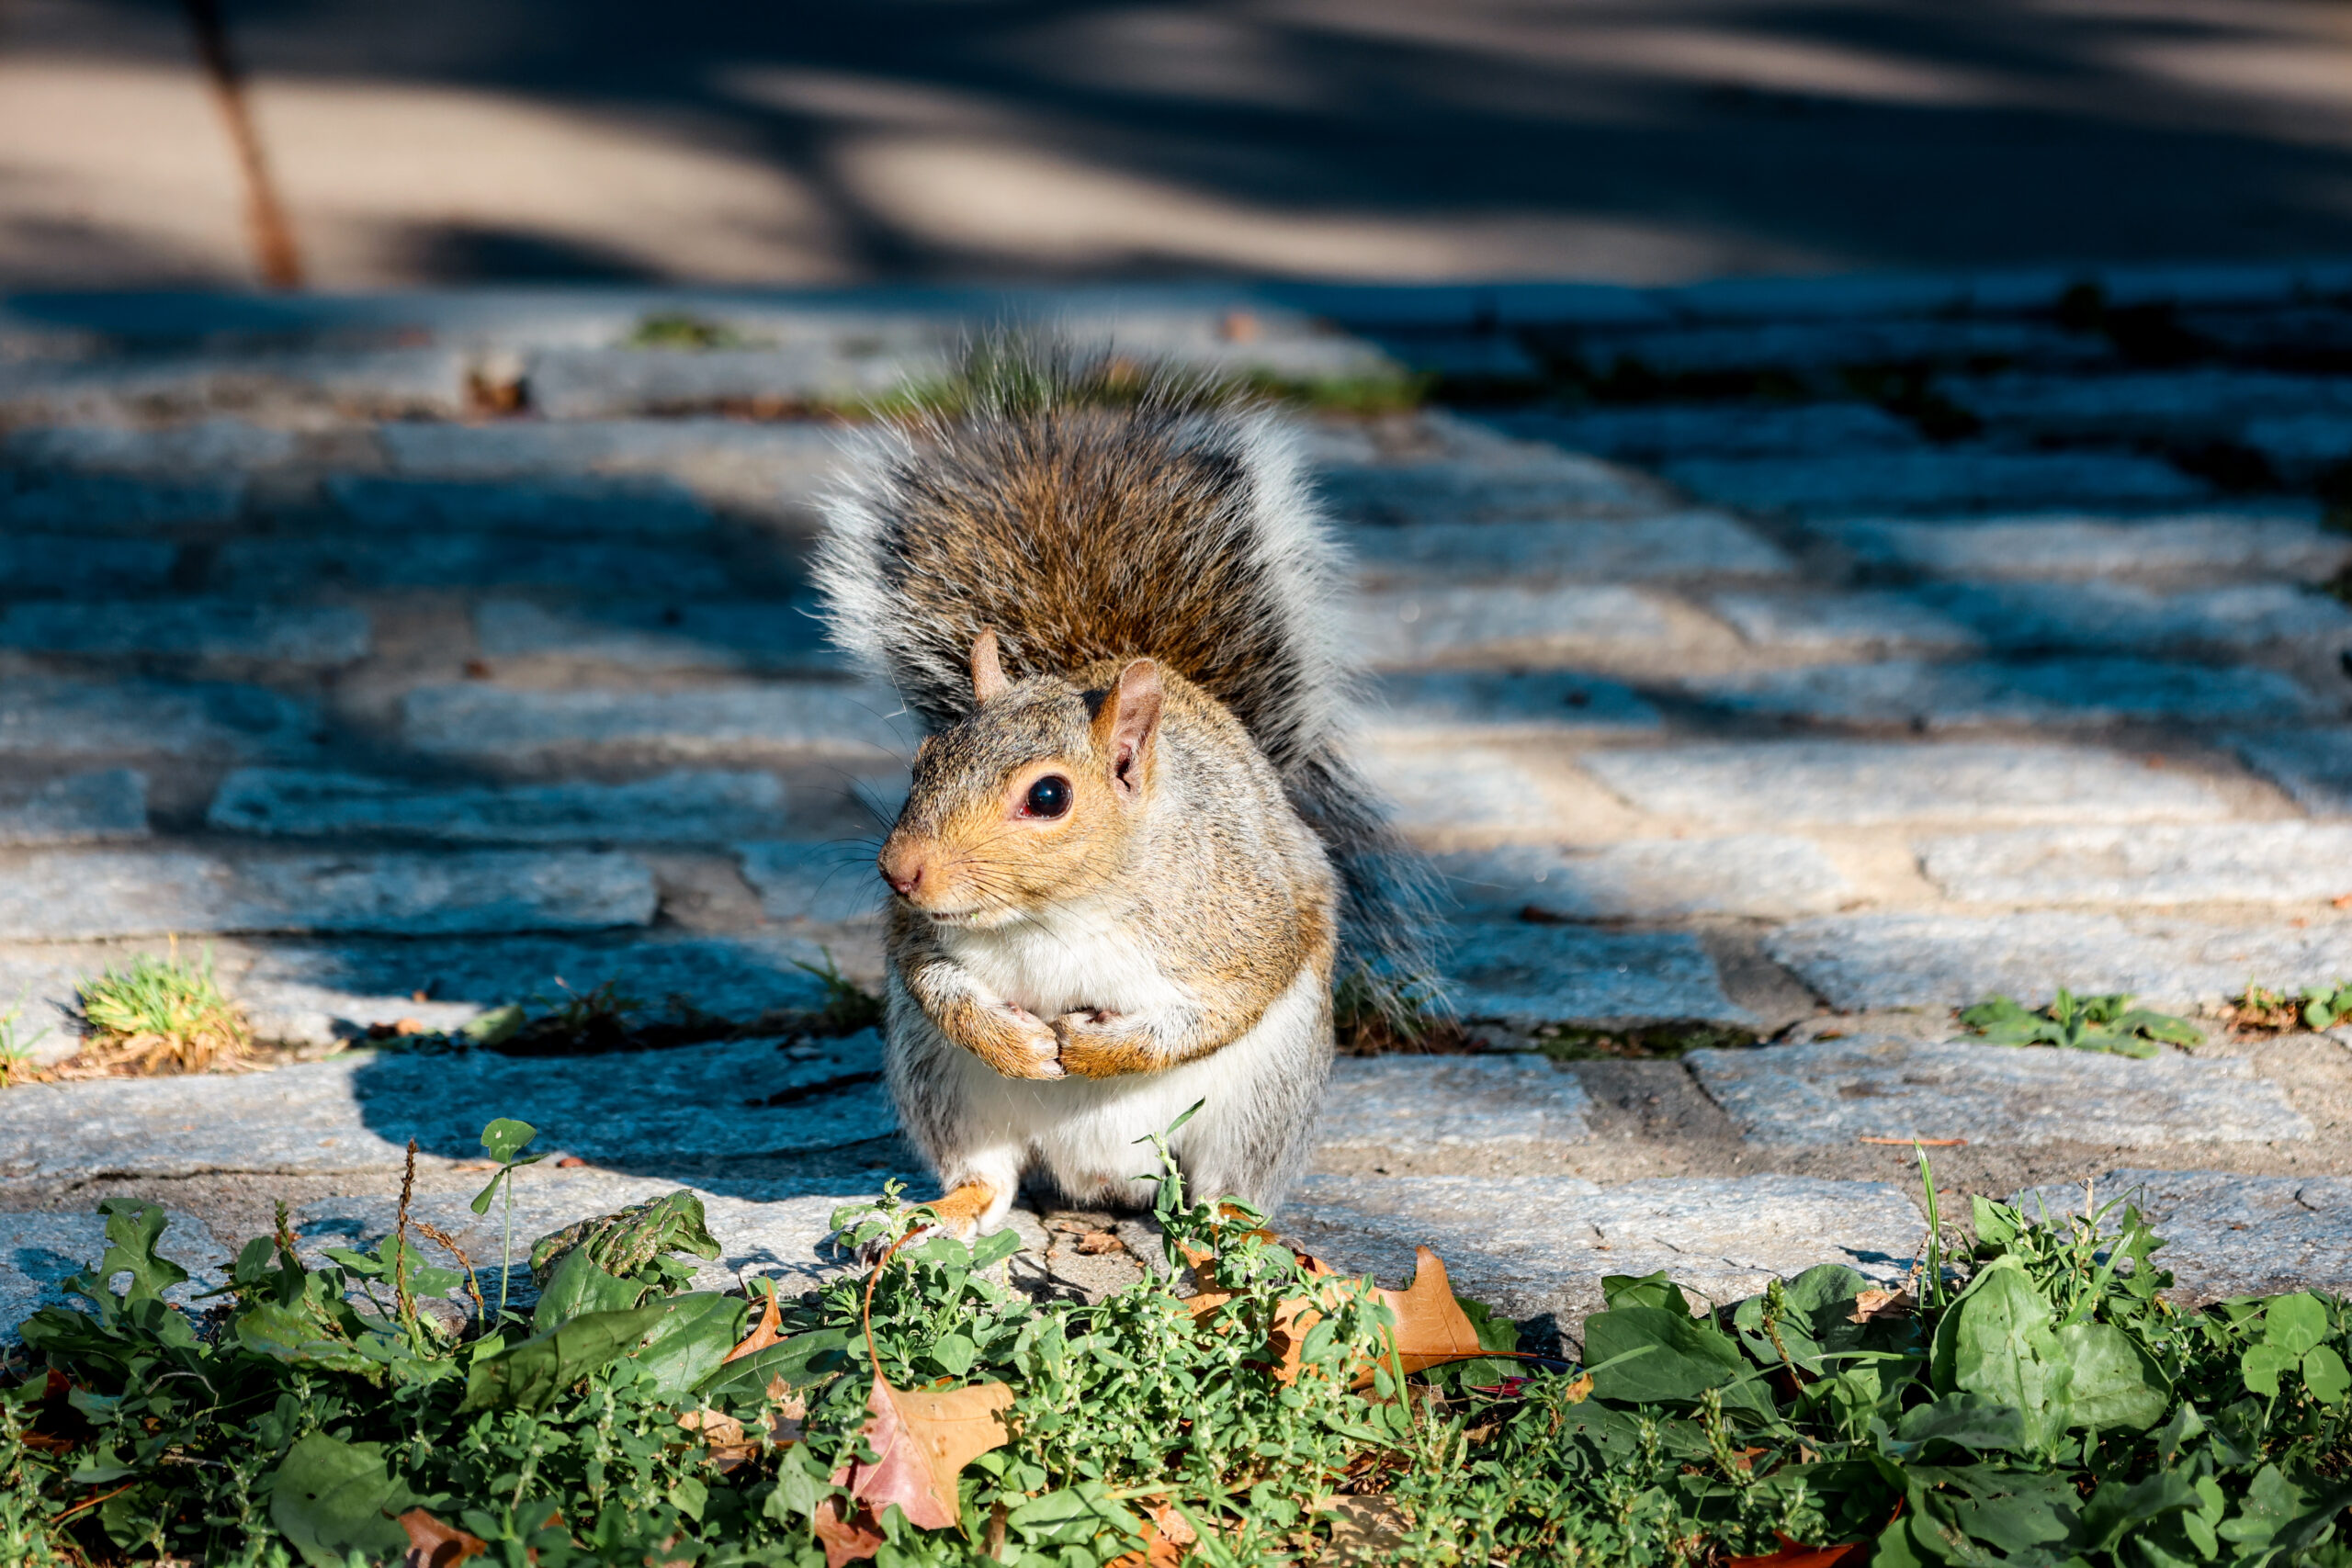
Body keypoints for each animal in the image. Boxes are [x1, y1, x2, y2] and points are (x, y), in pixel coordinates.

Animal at [814, 347, 1430, 1243]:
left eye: (1047, 796)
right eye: (925, 759)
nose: (902, 872)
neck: (1054, 915)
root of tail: (1098, 1181)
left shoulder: (1249, 918)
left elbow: (1223, 1006)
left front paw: (1097, 1050)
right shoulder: (918, 935)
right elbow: (930, 979)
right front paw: (1017, 1042)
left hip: (1262, 1101)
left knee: (1224, 1184)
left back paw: (1236, 1233)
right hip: (941, 1083)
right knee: (987, 1175)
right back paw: (935, 1217)